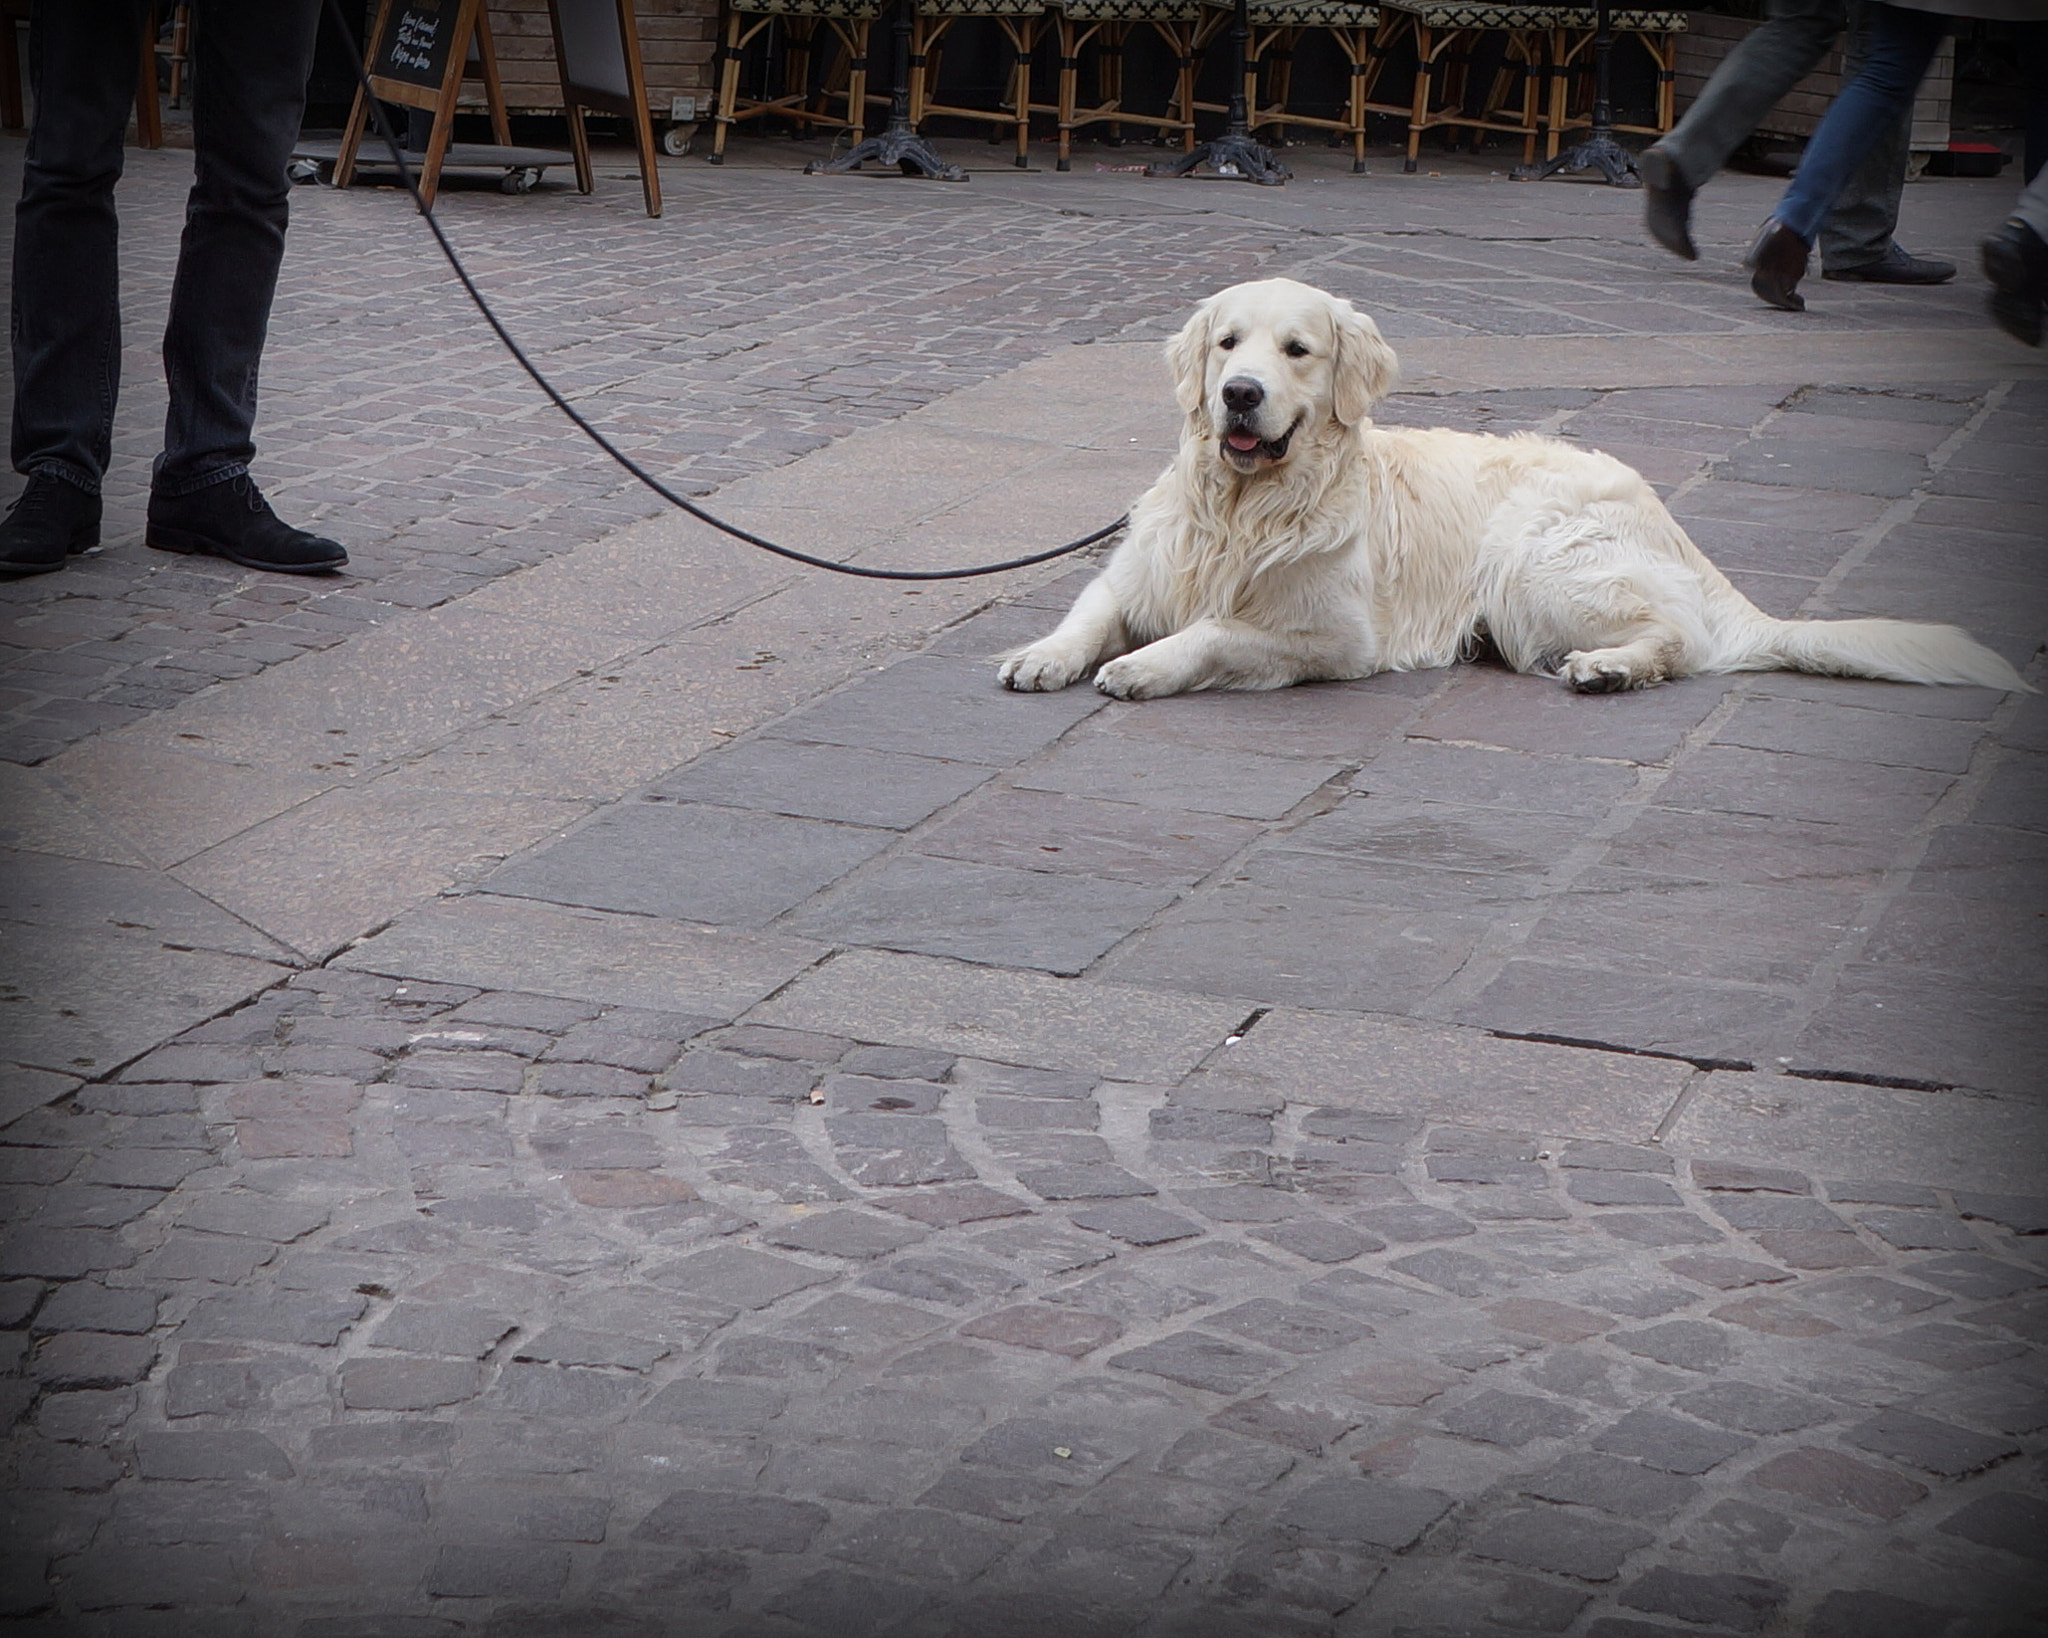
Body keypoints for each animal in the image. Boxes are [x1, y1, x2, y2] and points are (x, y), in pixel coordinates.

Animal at [999, 278, 2023, 700]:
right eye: (1225, 344)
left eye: (1297, 350)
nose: (1239, 395)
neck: (1246, 510)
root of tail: (1670, 523)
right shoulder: (1133, 575)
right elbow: (1088, 614)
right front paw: (1042, 657)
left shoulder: (1337, 638)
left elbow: (1214, 630)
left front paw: (1144, 668)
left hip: (1535, 559)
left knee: (1680, 640)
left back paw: (1611, 669)